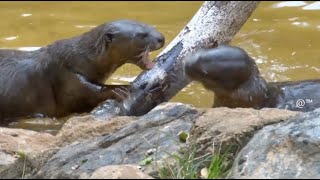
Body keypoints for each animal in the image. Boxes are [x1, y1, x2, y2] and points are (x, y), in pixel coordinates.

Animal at [0, 19, 165, 123]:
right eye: (141, 35)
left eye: (149, 26)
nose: (162, 38)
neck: (81, 59)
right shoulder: (66, 76)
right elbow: (83, 95)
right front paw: (120, 89)